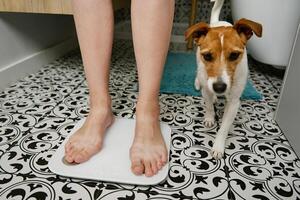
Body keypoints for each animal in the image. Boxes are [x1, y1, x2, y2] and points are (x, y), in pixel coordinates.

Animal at [185, 0, 262, 159]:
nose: (219, 87)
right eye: (207, 56)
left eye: (234, 55)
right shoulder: (207, 89)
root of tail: (217, 22)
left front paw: (218, 146)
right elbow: (208, 105)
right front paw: (209, 118)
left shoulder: (234, 103)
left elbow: (224, 127)